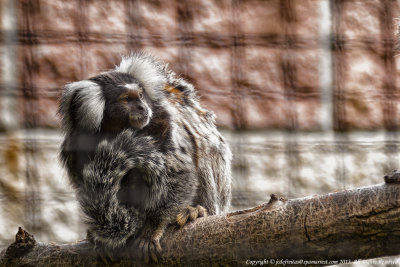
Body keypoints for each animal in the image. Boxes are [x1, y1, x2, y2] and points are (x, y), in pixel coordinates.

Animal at [58, 52, 231, 262]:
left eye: (140, 96)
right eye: (126, 99)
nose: (142, 107)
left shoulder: (163, 124)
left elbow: (181, 175)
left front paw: (153, 228)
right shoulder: (76, 144)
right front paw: (99, 238)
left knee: (203, 149)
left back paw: (195, 211)